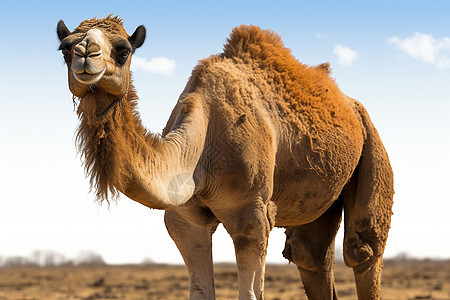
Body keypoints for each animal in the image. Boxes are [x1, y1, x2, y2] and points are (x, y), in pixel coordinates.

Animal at [57, 15, 394, 298]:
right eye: (65, 48)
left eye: (123, 50)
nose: (86, 53)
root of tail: (353, 107)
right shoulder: (186, 219)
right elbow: (201, 292)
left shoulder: (252, 213)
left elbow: (250, 293)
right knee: (309, 254)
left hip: (373, 146)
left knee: (362, 247)